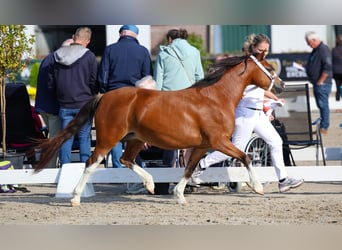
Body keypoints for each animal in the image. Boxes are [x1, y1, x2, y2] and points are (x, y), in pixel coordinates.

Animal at [28, 52, 284, 205]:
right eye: (268, 67)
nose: (281, 85)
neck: (216, 98)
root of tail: (104, 96)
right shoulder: (220, 141)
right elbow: (245, 157)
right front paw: (258, 187)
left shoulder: (203, 146)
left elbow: (189, 168)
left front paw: (180, 195)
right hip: (108, 139)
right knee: (92, 163)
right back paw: (75, 198)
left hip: (135, 139)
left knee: (126, 160)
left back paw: (150, 184)